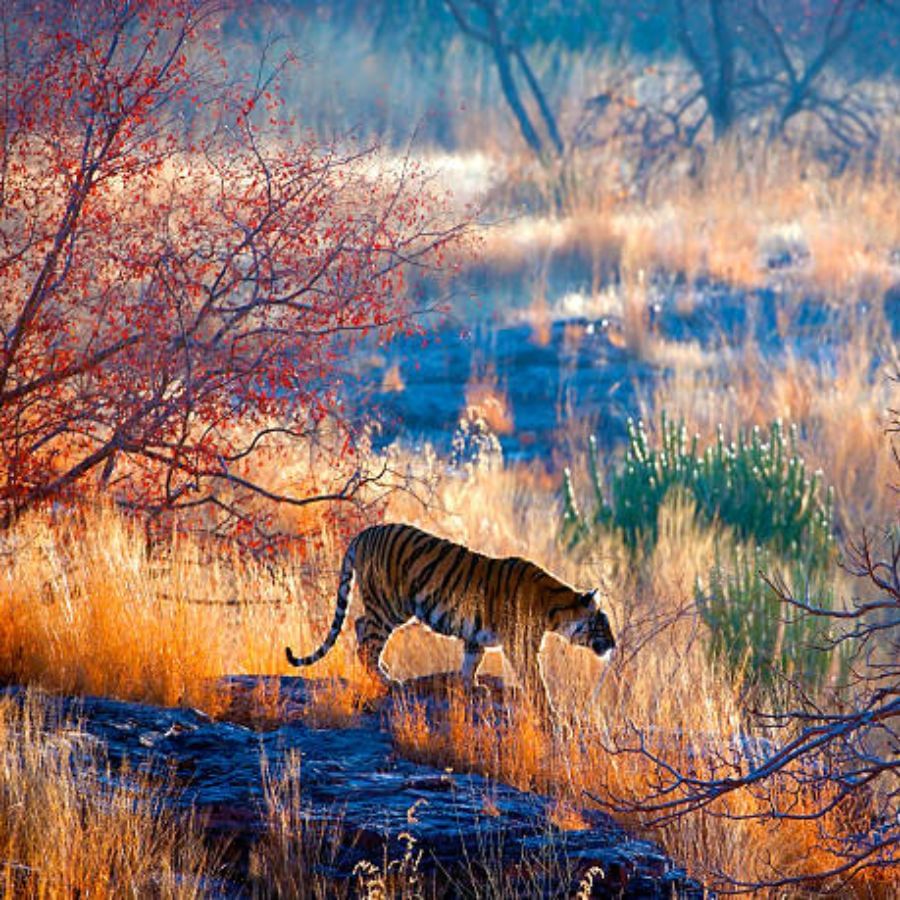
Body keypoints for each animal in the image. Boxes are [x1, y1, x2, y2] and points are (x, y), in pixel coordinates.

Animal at [284, 520, 616, 704]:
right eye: (602, 626)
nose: (613, 645)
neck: (555, 609)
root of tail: (365, 532)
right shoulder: (521, 647)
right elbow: (536, 681)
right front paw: (549, 712)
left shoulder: (476, 636)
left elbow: (470, 663)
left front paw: (473, 688)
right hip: (389, 605)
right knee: (366, 639)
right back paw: (389, 682)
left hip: (385, 606)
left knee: (359, 625)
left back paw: (384, 671)